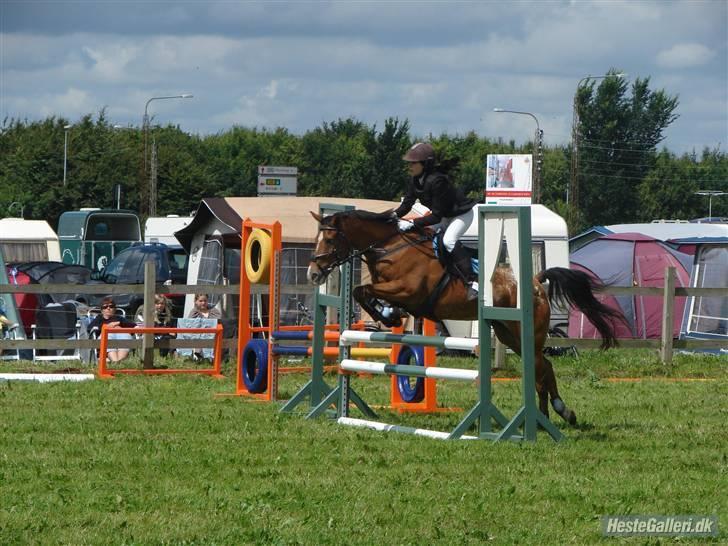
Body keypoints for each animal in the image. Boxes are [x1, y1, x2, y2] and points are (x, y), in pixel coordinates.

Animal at [306, 208, 624, 424]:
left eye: (330, 238)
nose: (313, 274)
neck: (392, 248)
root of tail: (535, 280)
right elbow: (362, 291)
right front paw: (389, 314)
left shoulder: (409, 291)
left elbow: (362, 290)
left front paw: (389, 317)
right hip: (509, 333)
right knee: (542, 367)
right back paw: (549, 415)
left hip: (525, 333)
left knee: (541, 368)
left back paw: (557, 413)